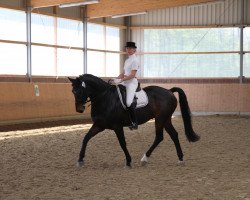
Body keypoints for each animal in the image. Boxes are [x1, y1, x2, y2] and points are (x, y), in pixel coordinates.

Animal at [68, 73, 199, 167]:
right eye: (73, 91)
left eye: (79, 91)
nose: (79, 109)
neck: (105, 98)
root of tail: (169, 91)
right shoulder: (99, 125)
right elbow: (86, 138)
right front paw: (80, 160)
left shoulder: (117, 126)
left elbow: (122, 143)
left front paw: (128, 161)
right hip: (165, 119)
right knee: (174, 135)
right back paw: (180, 159)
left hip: (160, 119)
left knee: (159, 137)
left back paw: (145, 158)